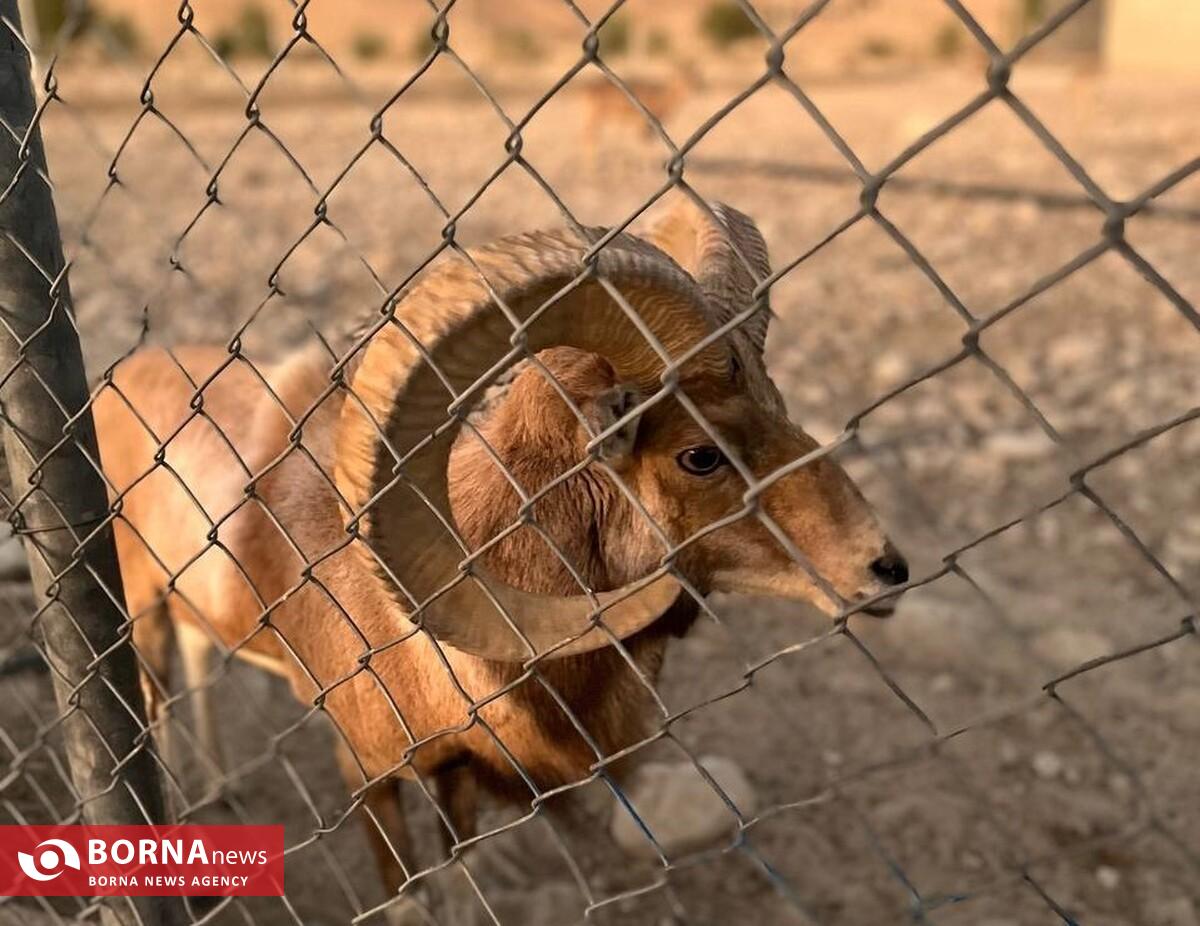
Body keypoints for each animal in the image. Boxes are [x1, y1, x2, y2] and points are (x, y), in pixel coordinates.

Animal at [91, 199, 907, 921]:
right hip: (143, 610)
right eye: (699, 454)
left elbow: (458, 873)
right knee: (159, 701)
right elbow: (407, 896)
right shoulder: (368, 775)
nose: (886, 569)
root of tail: (113, 386)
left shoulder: (457, 772)